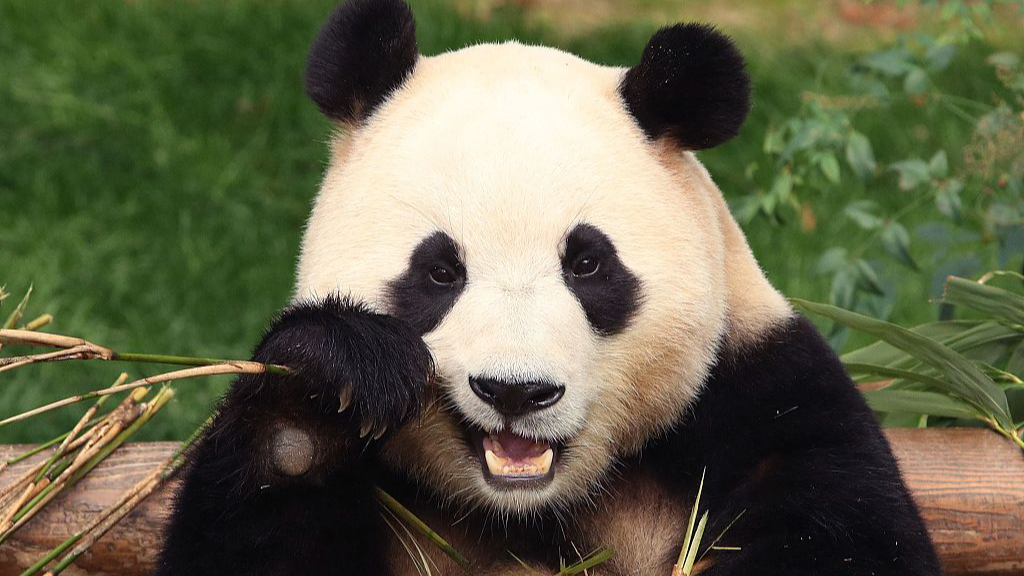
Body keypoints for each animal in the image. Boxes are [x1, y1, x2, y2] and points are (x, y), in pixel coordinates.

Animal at [155, 1, 943, 575]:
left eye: (587, 265)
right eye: (440, 270)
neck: (530, 508)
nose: (516, 392)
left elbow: (850, 536)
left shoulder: (763, 403)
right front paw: (326, 386)